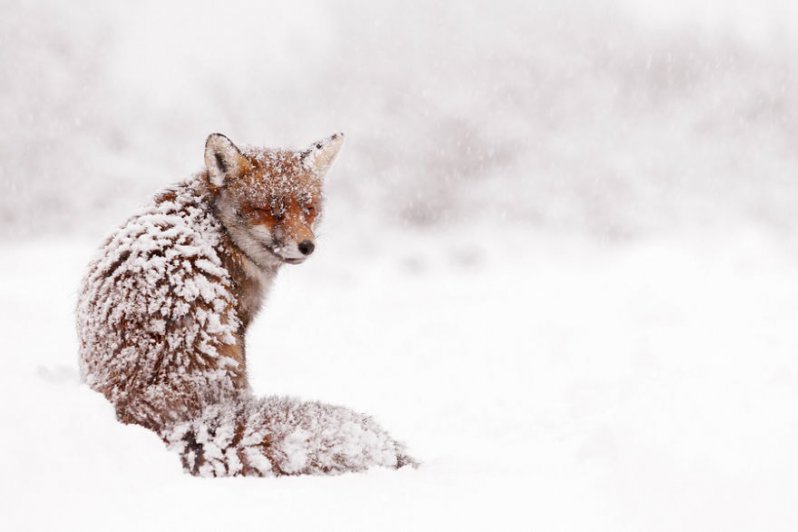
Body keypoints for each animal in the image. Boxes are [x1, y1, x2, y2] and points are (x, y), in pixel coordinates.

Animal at [77, 134, 416, 478]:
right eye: (271, 211)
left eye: (308, 209)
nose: (307, 246)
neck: (217, 225)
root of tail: (176, 422)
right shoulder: (241, 321)